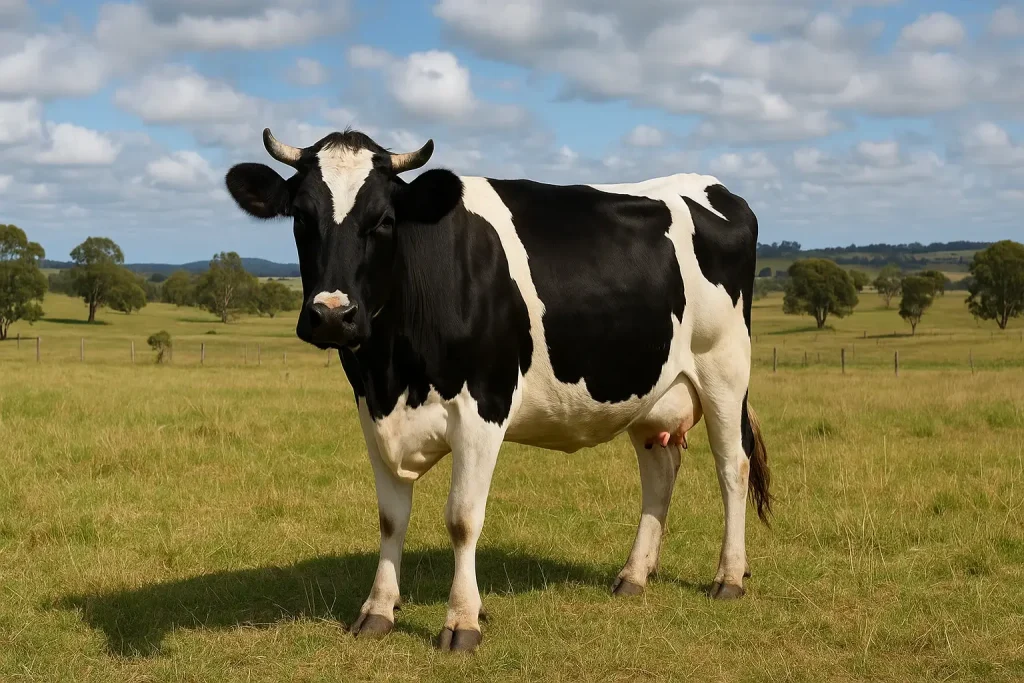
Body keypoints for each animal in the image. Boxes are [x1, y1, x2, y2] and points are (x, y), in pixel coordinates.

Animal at [225, 128, 772, 653]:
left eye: (383, 220)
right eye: (300, 216)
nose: (333, 315)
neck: (394, 370)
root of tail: (717, 188)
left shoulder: (482, 408)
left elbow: (462, 519)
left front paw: (463, 621)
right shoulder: (372, 410)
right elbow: (390, 518)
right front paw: (378, 610)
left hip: (724, 370)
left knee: (733, 466)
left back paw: (729, 577)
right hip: (649, 388)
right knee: (660, 472)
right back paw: (634, 575)